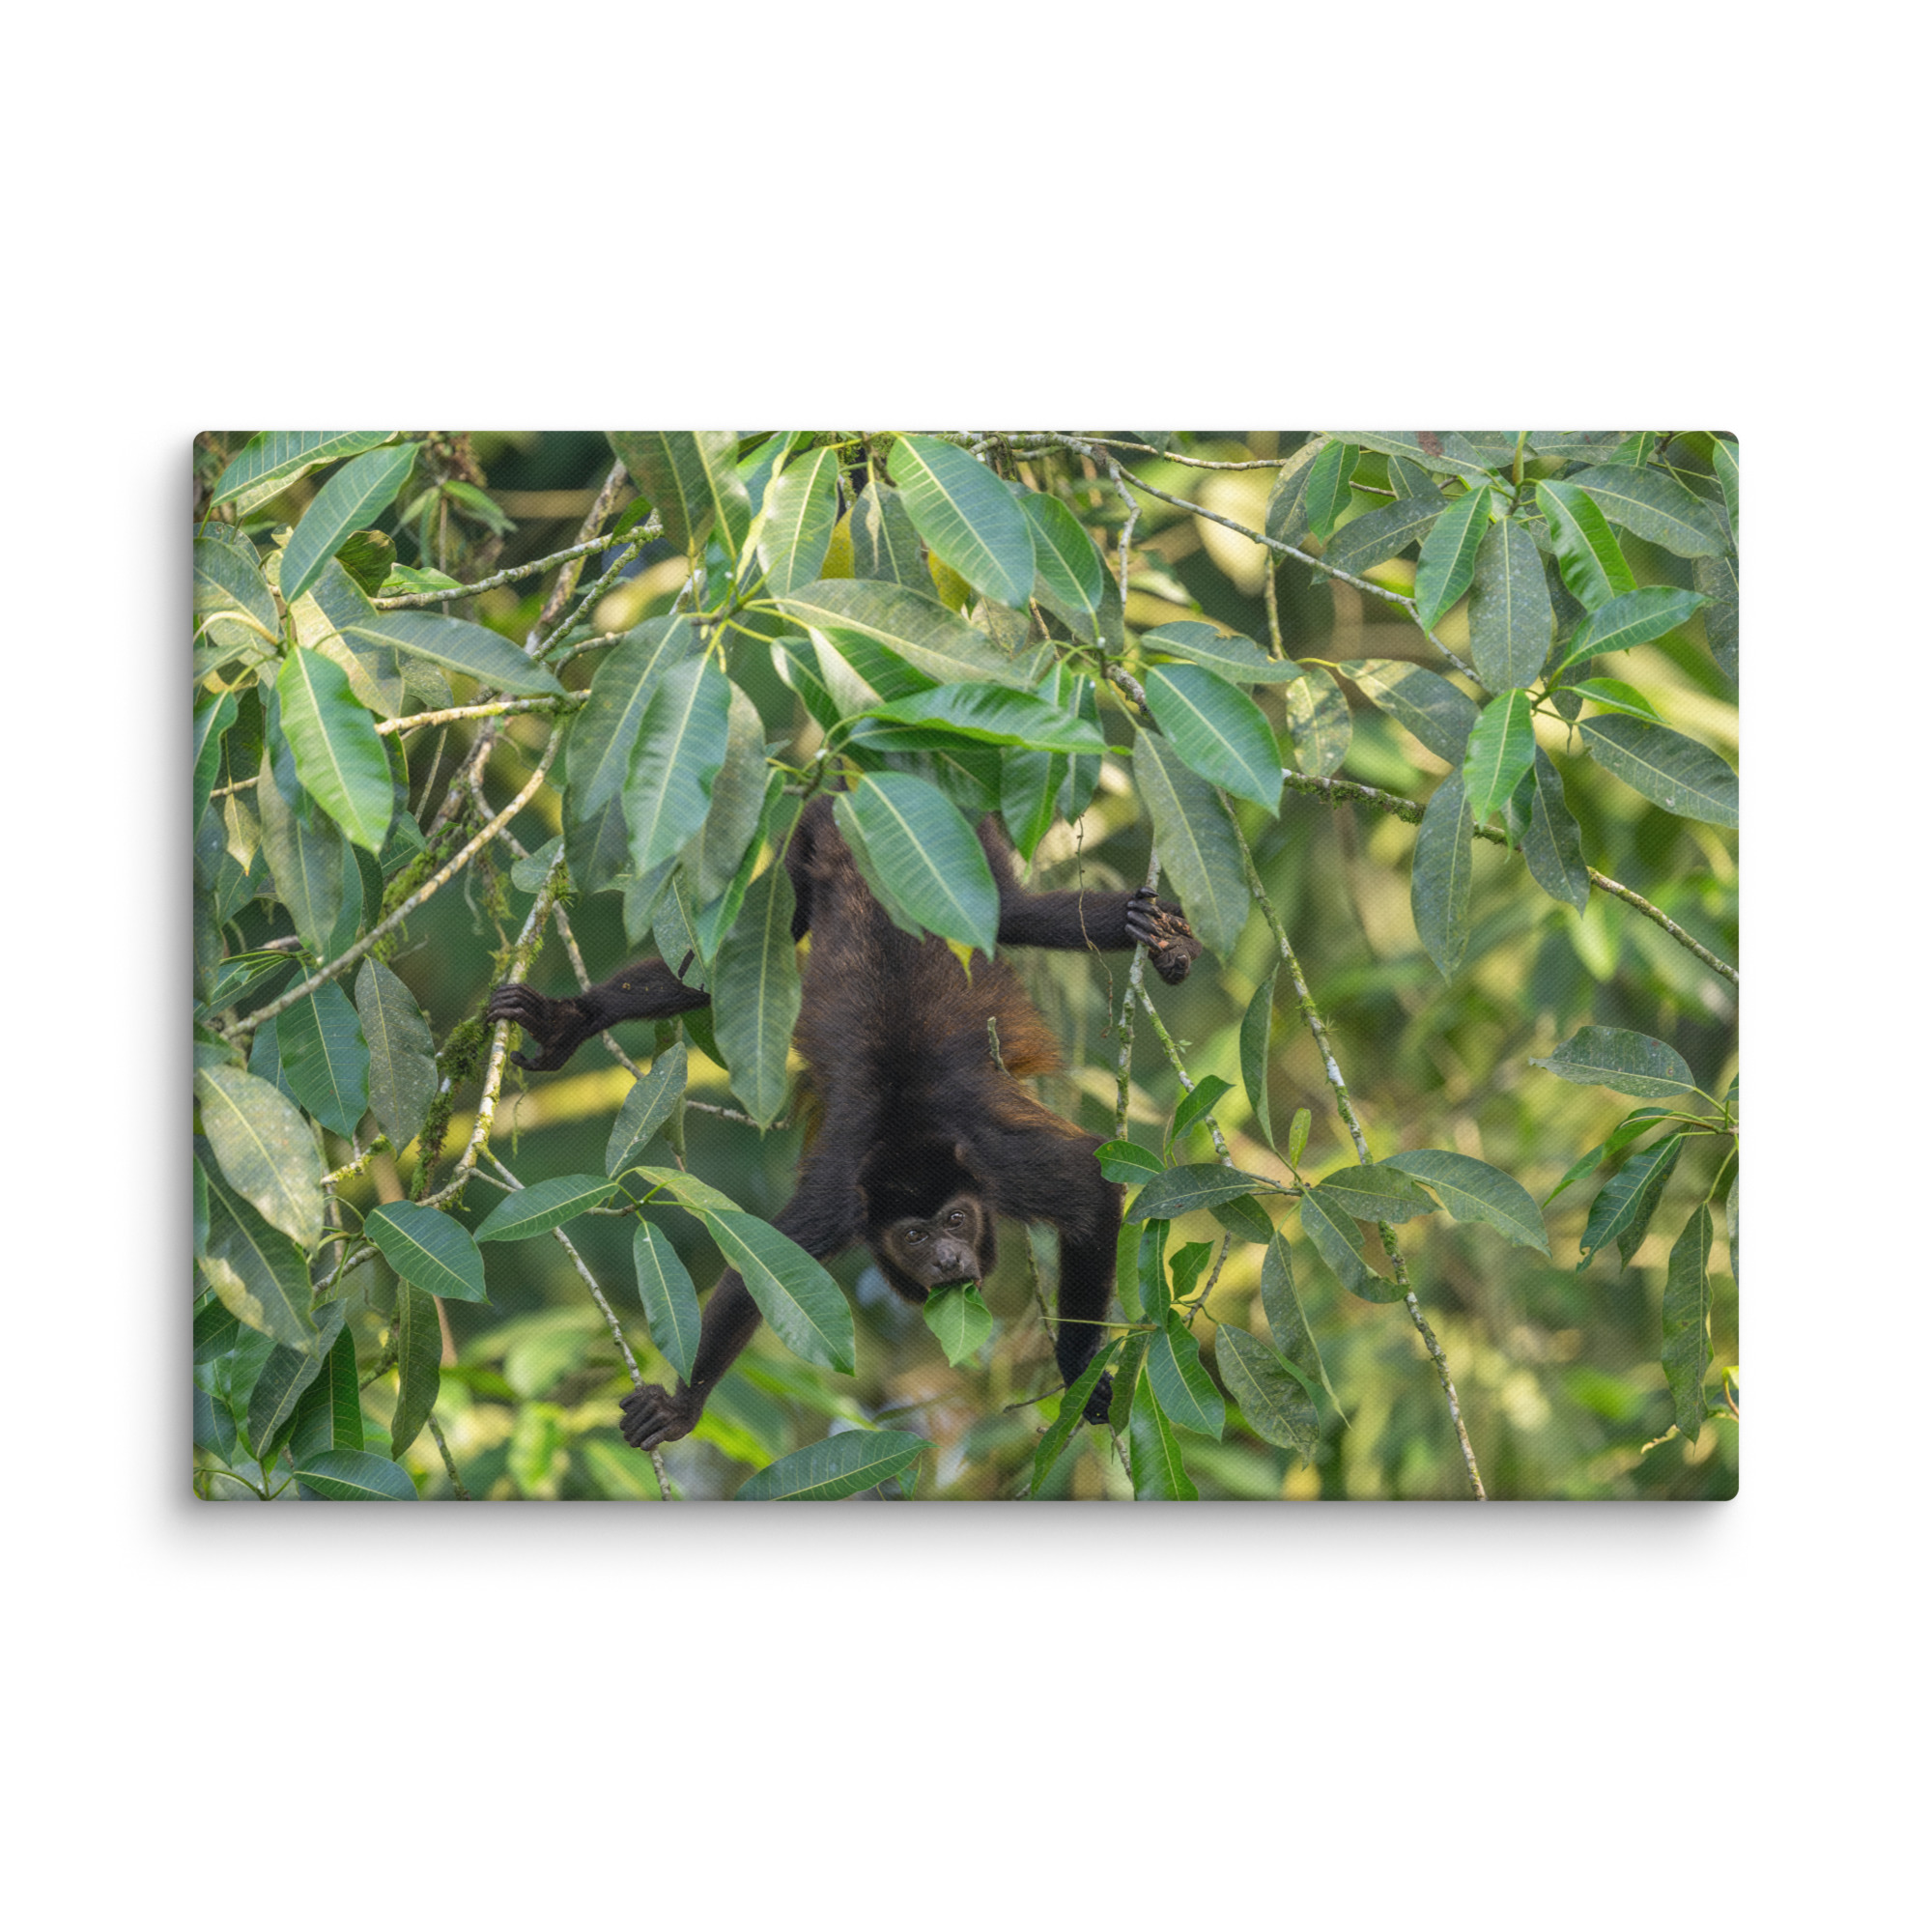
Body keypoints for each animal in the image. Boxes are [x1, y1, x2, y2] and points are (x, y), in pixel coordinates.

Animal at [486, 794, 1202, 1452]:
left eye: (956, 1220)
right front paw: (683, 1407)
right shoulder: (840, 1201)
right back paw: (573, 1018)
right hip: (805, 856)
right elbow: (762, 1268)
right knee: (739, 955)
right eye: (914, 1235)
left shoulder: (1000, 1165)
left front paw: (1078, 1367)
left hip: (964, 848)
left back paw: (1159, 937)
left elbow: (1090, 1185)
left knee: (1019, 913)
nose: (946, 1258)